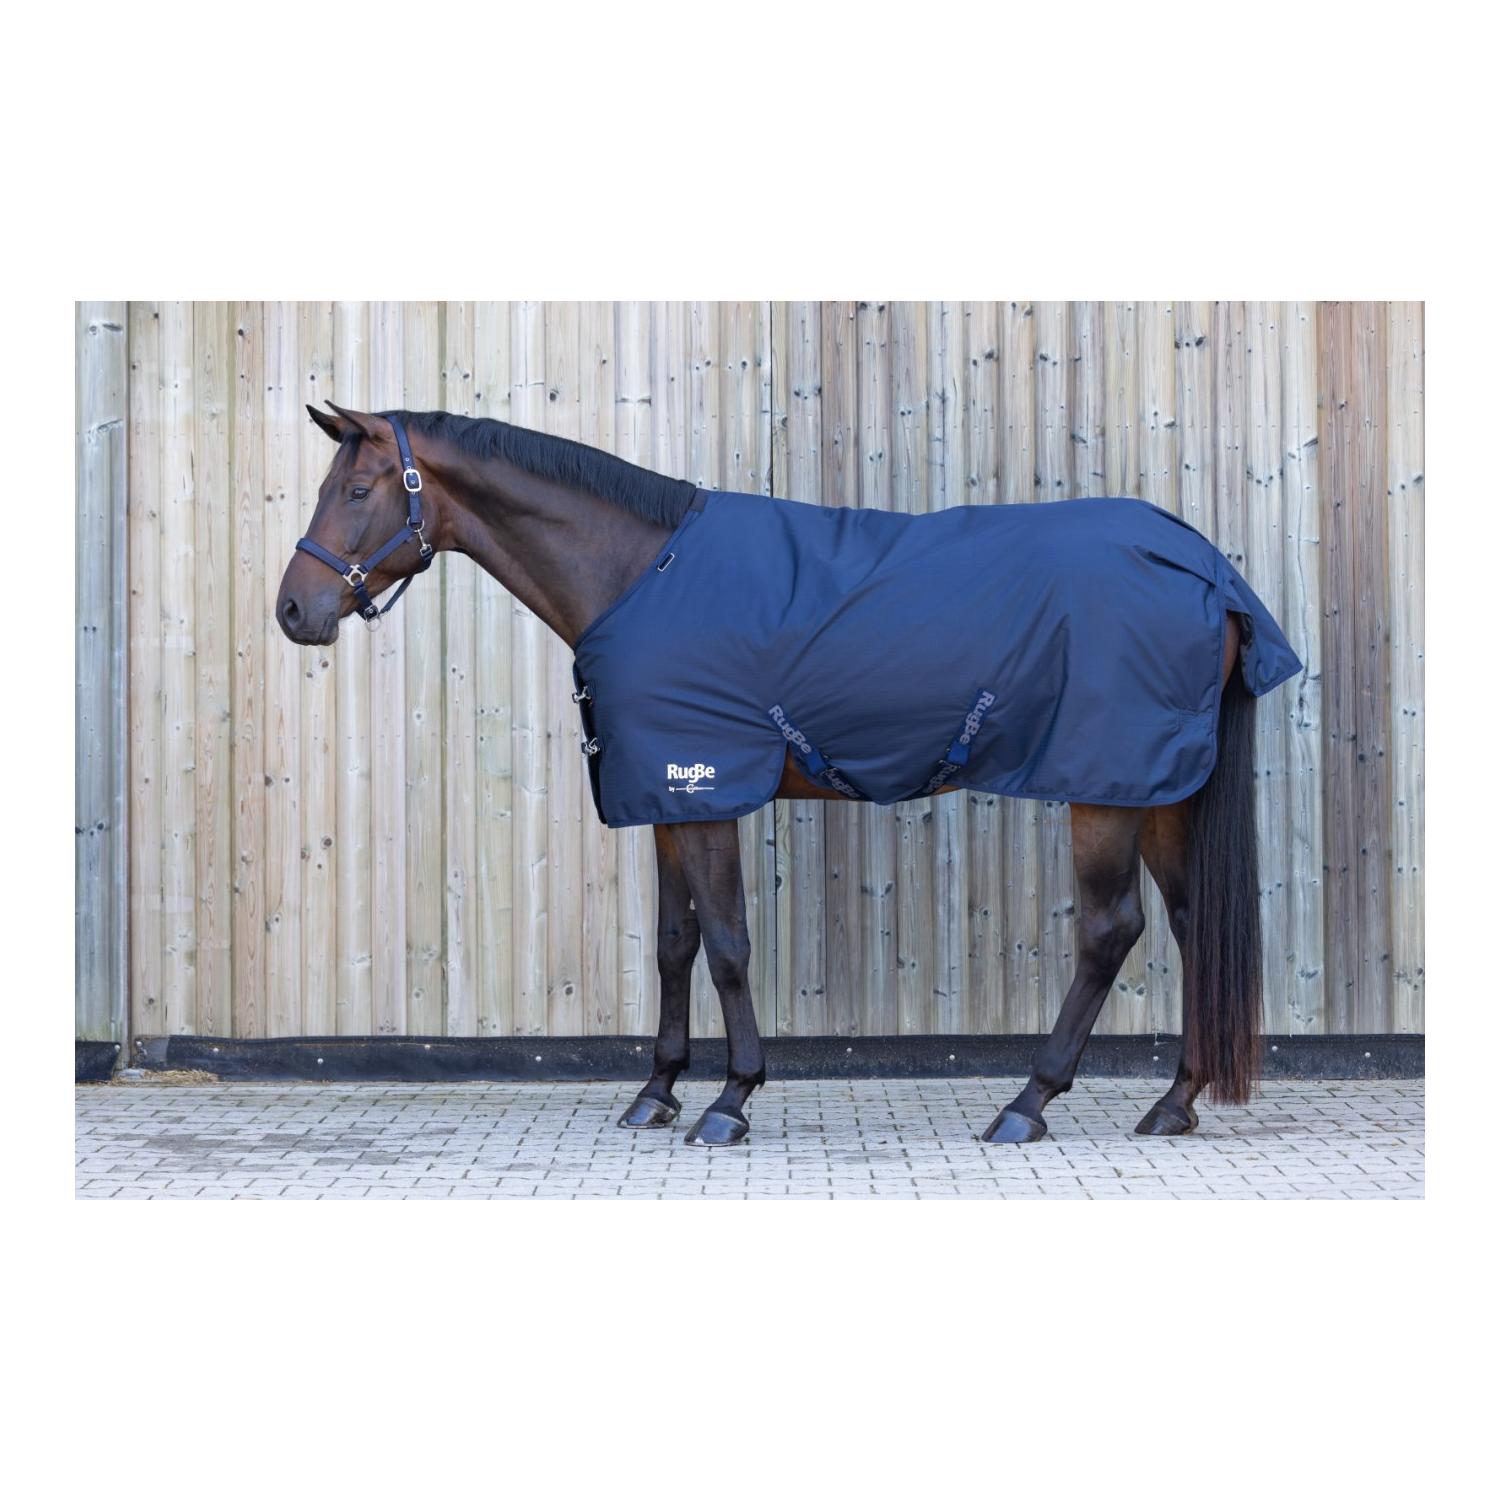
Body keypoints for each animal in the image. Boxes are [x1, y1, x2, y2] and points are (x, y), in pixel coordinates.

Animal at [277, 401, 1294, 1148]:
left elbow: (727, 945)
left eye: (359, 488)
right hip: (1158, 791)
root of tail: (1206, 568)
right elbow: (675, 945)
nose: (294, 610)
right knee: (1194, 925)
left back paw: (1026, 1105)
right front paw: (657, 1092)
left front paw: (731, 1100)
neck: (642, 572)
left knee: (1110, 932)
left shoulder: (705, 789)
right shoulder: (664, 794)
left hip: (1104, 789)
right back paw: (1174, 1103)